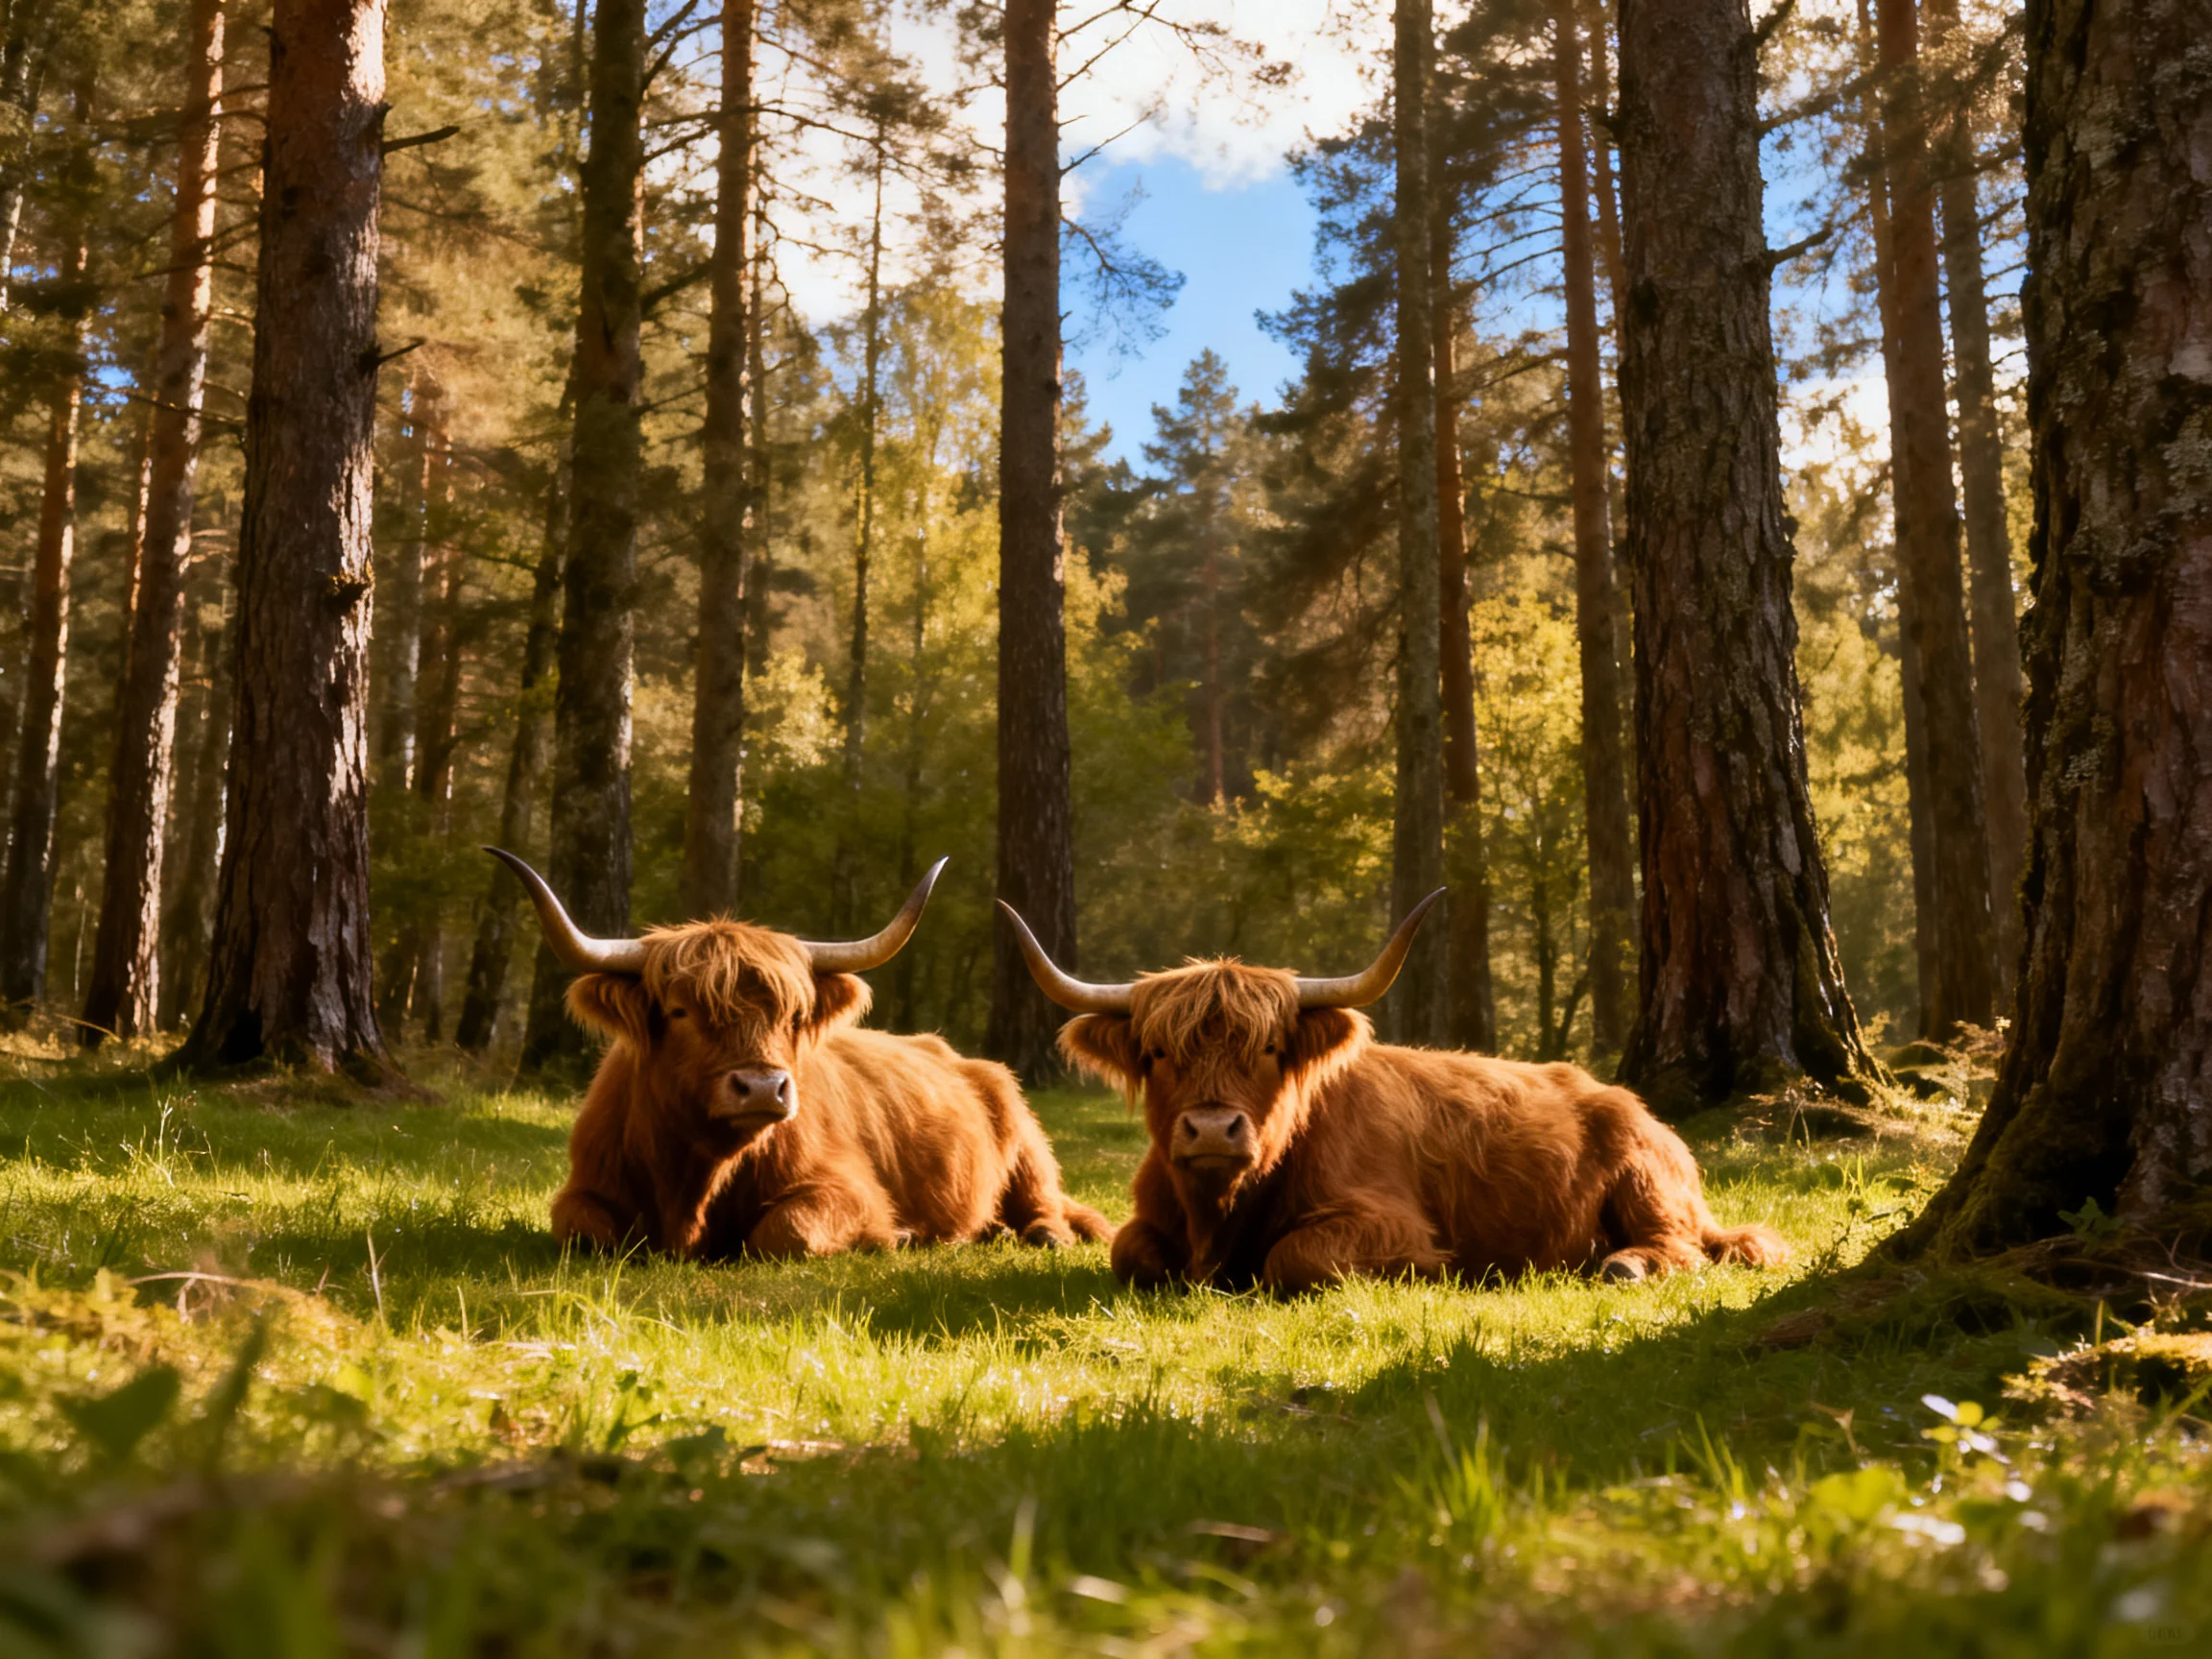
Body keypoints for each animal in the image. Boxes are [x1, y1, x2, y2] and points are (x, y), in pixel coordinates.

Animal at [491, 848, 1112, 1261]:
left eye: (793, 1015)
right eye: (680, 1011)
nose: (764, 1087)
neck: (696, 1179)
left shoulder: (845, 1188)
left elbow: (785, 1233)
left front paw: (896, 1235)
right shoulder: (587, 1188)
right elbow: (584, 1229)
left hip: (1026, 1139)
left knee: (1048, 1205)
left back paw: (1033, 1233)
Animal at [998, 893, 1786, 1294]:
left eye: (1270, 1049)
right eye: (1159, 1053)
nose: (1214, 1130)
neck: (1220, 1217)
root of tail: (1625, 1100)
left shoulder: (1391, 1223)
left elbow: (1295, 1258)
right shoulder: (1148, 1223)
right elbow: (1130, 1252)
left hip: (1649, 1183)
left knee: (1687, 1245)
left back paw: (1621, 1262)